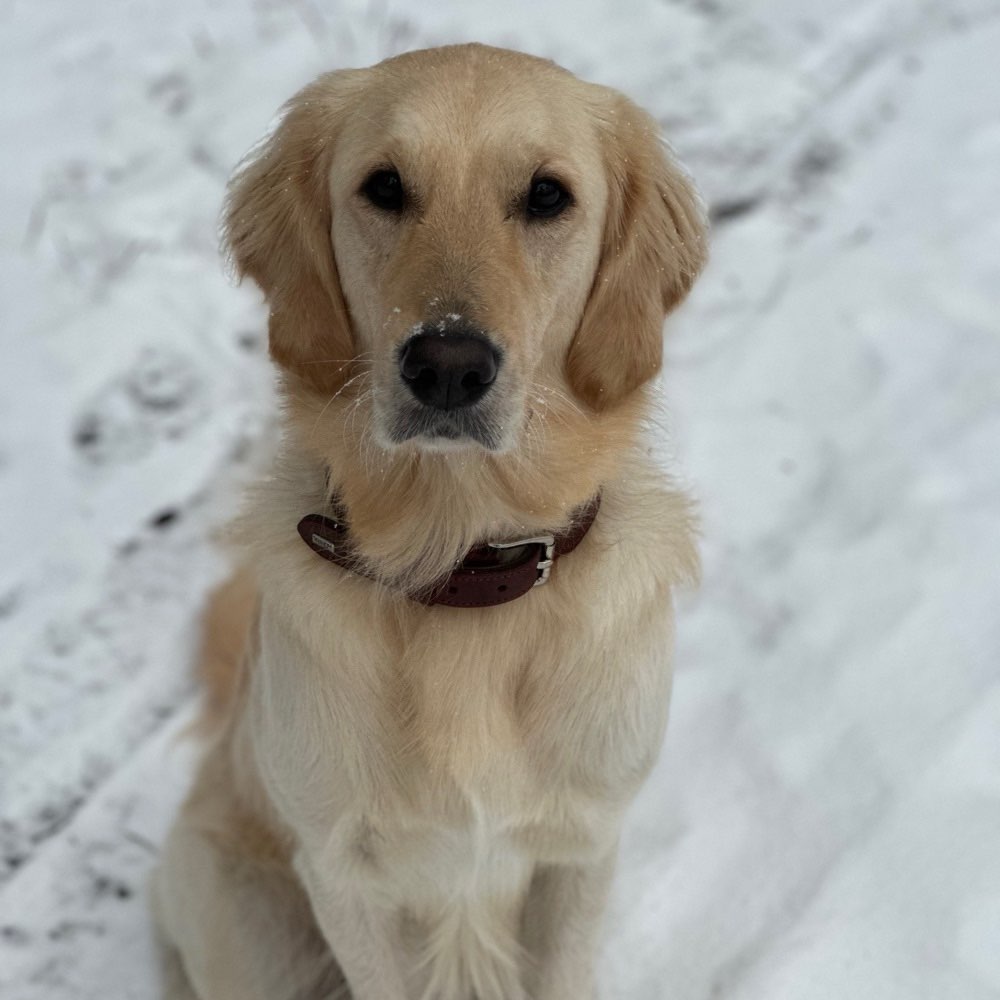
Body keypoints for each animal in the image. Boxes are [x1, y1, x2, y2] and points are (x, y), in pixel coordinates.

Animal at [152, 41, 708, 1000]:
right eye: (384, 186)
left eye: (548, 196)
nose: (447, 365)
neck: (461, 563)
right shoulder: (341, 875)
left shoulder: (582, 845)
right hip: (246, 917)